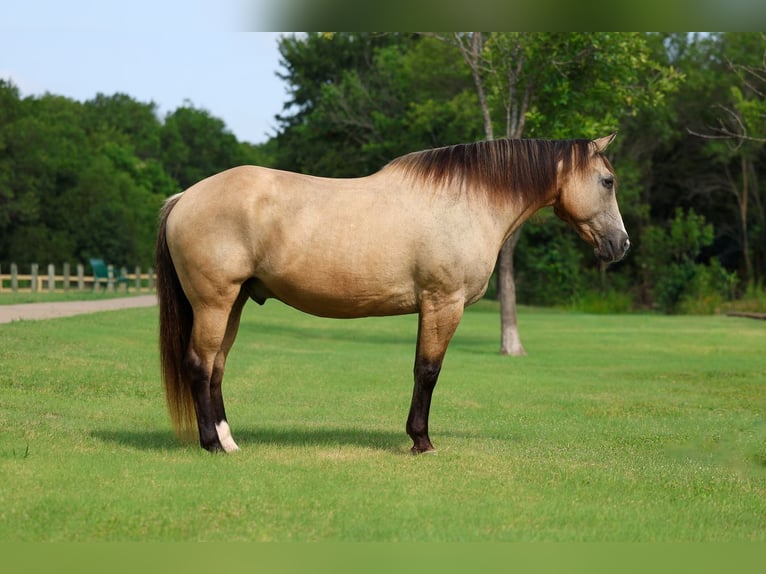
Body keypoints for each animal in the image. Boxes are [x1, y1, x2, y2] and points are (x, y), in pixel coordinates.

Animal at [155, 134, 630, 454]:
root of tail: (184, 197)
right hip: (214, 303)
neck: (464, 201)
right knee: (199, 365)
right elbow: (428, 371)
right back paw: (211, 445)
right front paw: (422, 441)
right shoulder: (443, 302)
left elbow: (423, 369)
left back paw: (229, 441)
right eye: (607, 181)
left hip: (233, 303)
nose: (621, 245)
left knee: (216, 367)